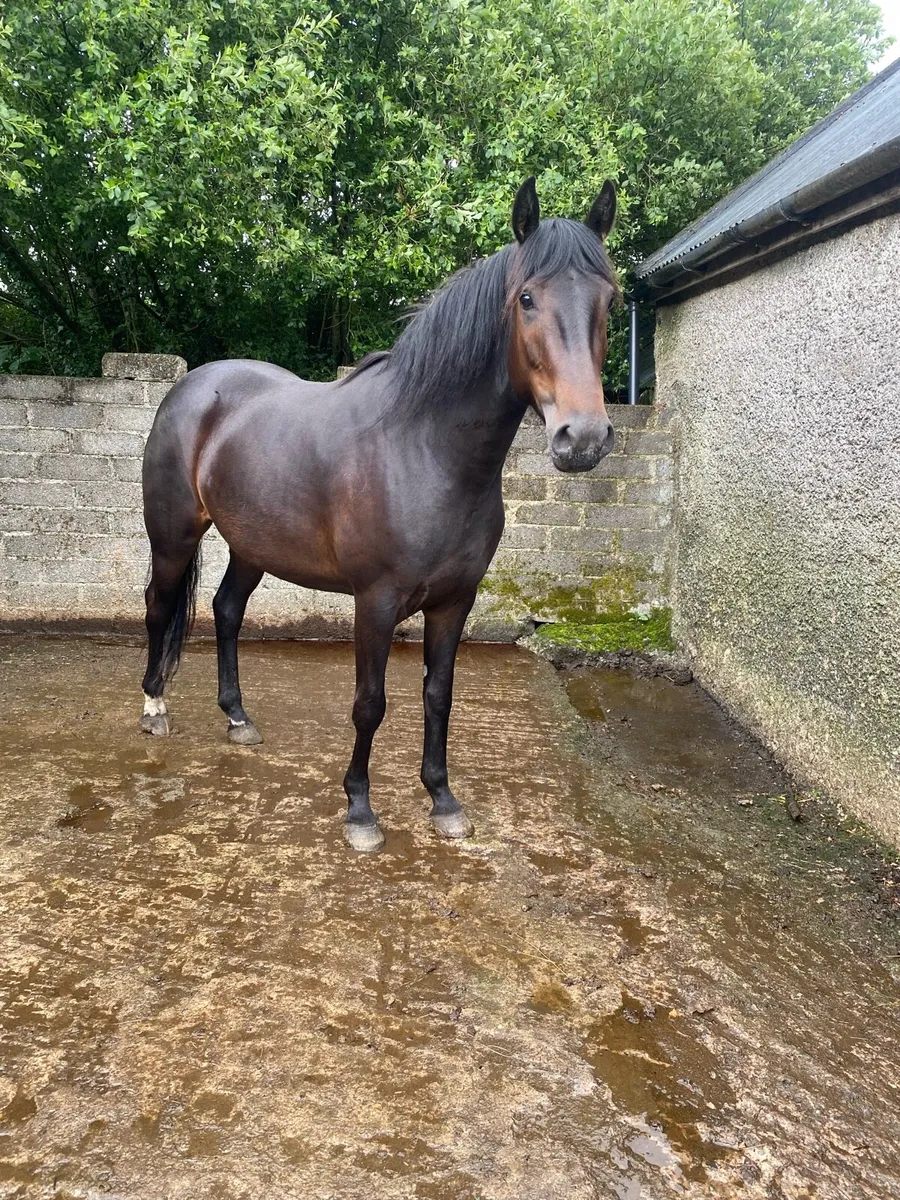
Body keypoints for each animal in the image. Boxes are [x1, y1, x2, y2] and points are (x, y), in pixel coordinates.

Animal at [140, 176, 619, 852]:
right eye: (526, 298)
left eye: (610, 299)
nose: (584, 439)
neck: (423, 450)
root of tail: (186, 391)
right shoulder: (376, 600)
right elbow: (370, 702)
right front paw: (360, 812)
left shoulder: (454, 601)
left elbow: (439, 696)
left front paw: (442, 800)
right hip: (173, 536)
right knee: (160, 607)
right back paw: (154, 710)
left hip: (252, 546)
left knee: (226, 611)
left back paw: (237, 718)